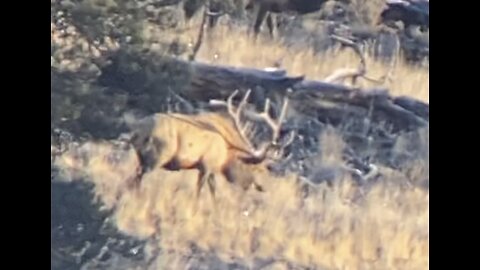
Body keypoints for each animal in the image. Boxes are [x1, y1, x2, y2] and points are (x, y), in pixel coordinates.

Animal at [126, 90, 292, 207]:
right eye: (258, 168)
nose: (261, 187)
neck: (227, 151)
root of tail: (137, 131)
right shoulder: (206, 164)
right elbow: (200, 191)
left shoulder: (211, 168)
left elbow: (213, 192)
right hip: (157, 156)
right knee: (135, 178)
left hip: (142, 157)